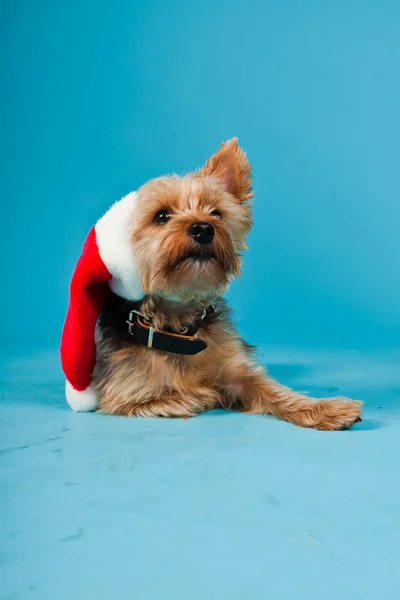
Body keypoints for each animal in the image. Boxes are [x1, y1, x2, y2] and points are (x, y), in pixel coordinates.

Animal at [90, 139, 362, 432]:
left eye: (216, 213)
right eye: (161, 216)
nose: (203, 228)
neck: (179, 327)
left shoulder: (237, 369)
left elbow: (271, 389)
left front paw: (327, 408)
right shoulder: (124, 395)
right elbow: (179, 395)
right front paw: (204, 393)